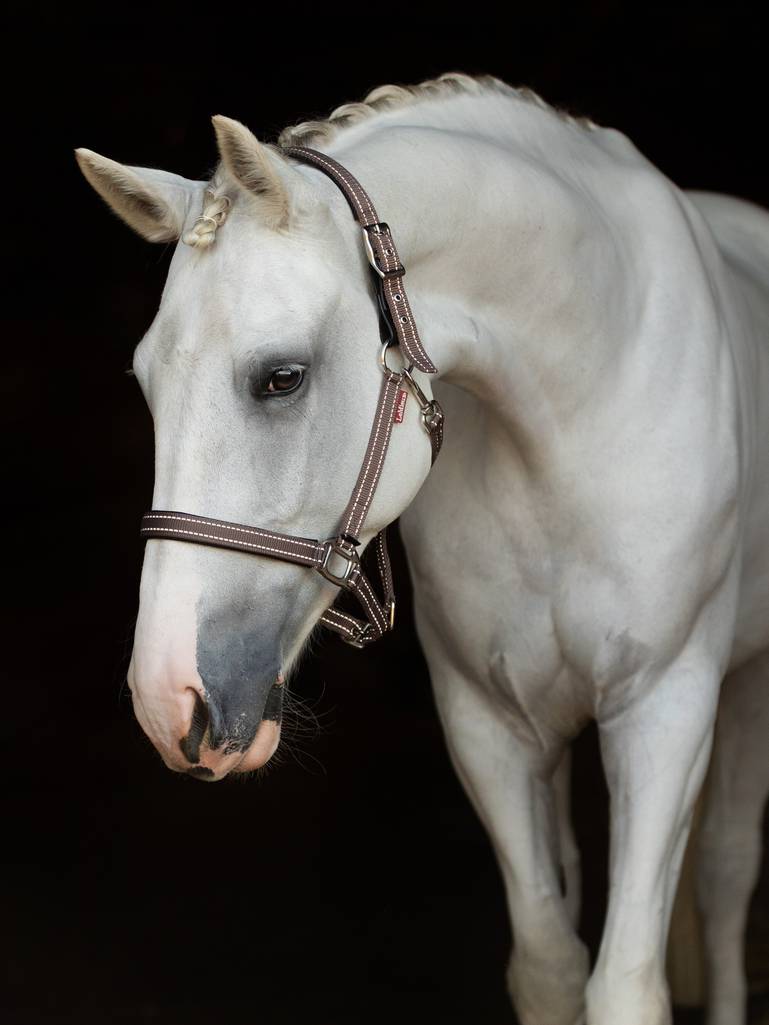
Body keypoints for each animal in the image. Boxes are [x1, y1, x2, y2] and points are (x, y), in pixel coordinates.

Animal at [76, 74, 769, 1025]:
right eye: (145, 383)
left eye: (281, 377)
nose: (167, 694)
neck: (584, 393)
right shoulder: (488, 723)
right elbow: (550, 964)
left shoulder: (664, 707)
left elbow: (626, 979)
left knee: (727, 873)